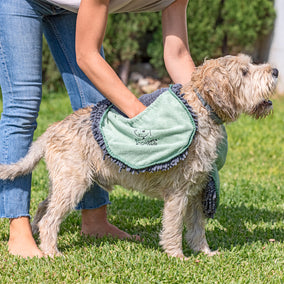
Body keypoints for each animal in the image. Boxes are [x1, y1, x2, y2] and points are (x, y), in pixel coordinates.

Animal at [0, 54, 278, 258]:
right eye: (244, 72)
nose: (275, 71)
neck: (201, 111)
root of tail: (50, 131)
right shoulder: (178, 193)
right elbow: (173, 226)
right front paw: (178, 256)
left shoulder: (197, 192)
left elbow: (197, 228)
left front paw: (205, 253)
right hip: (73, 184)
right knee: (50, 219)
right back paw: (50, 252)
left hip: (63, 183)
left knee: (42, 208)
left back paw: (36, 235)